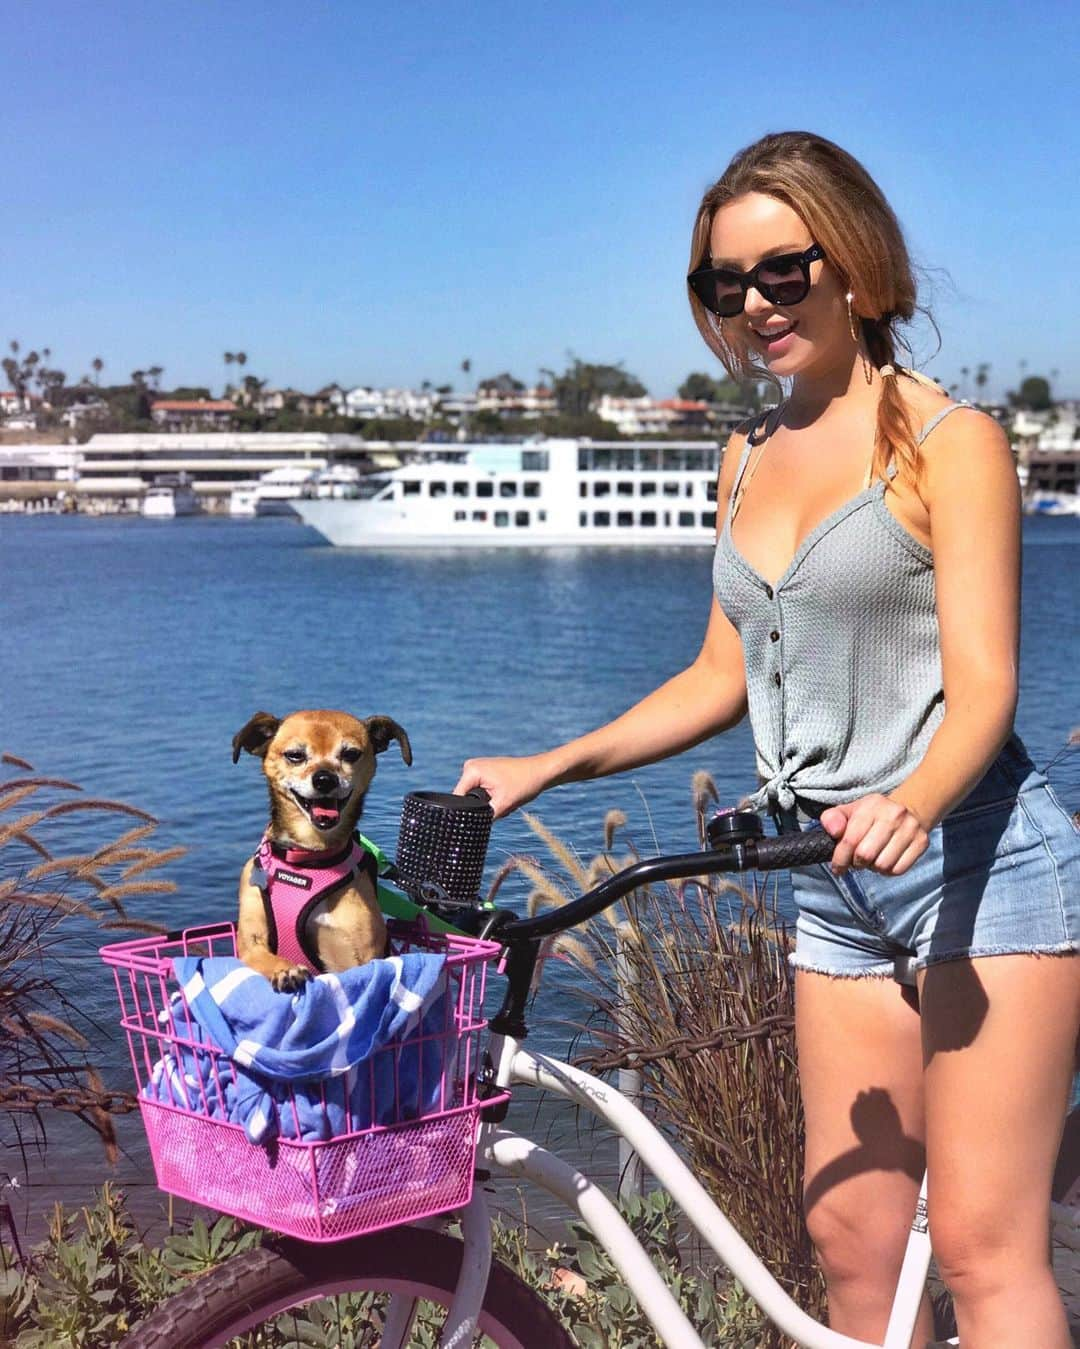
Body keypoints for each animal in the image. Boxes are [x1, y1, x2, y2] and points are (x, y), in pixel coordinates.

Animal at [230, 706, 409, 992]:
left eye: (350, 754)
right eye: (295, 755)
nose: (325, 779)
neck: (308, 858)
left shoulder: (358, 956)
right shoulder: (251, 944)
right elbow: (262, 955)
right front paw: (286, 969)